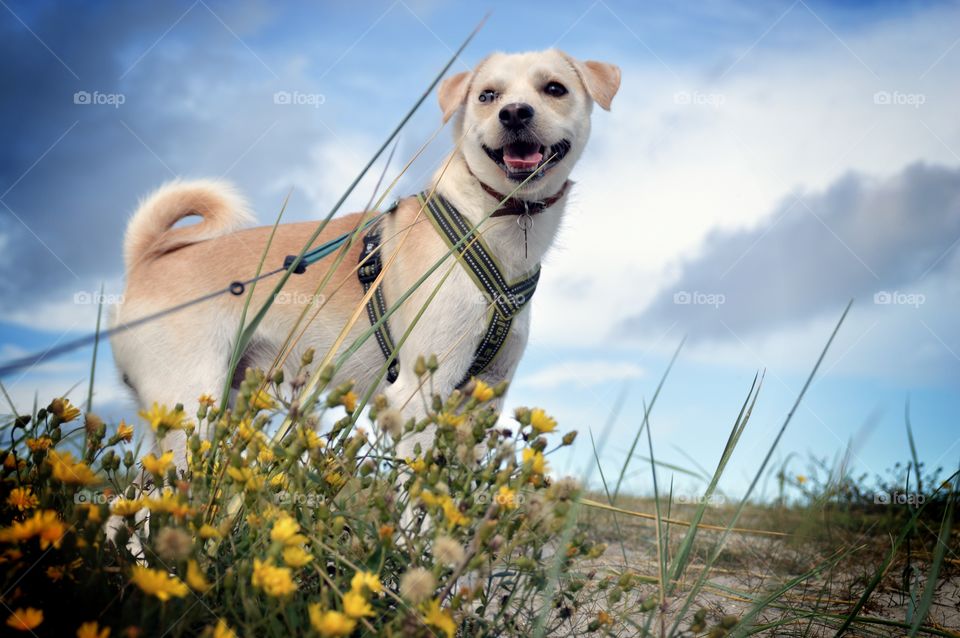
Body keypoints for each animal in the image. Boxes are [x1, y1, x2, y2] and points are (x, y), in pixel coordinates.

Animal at [112, 48, 624, 464]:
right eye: (487, 95)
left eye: (554, 88)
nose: (514, 112)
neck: (494, 221)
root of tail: (146, 260)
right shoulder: (419, 395)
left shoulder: (481, 400)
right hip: (191, 409)